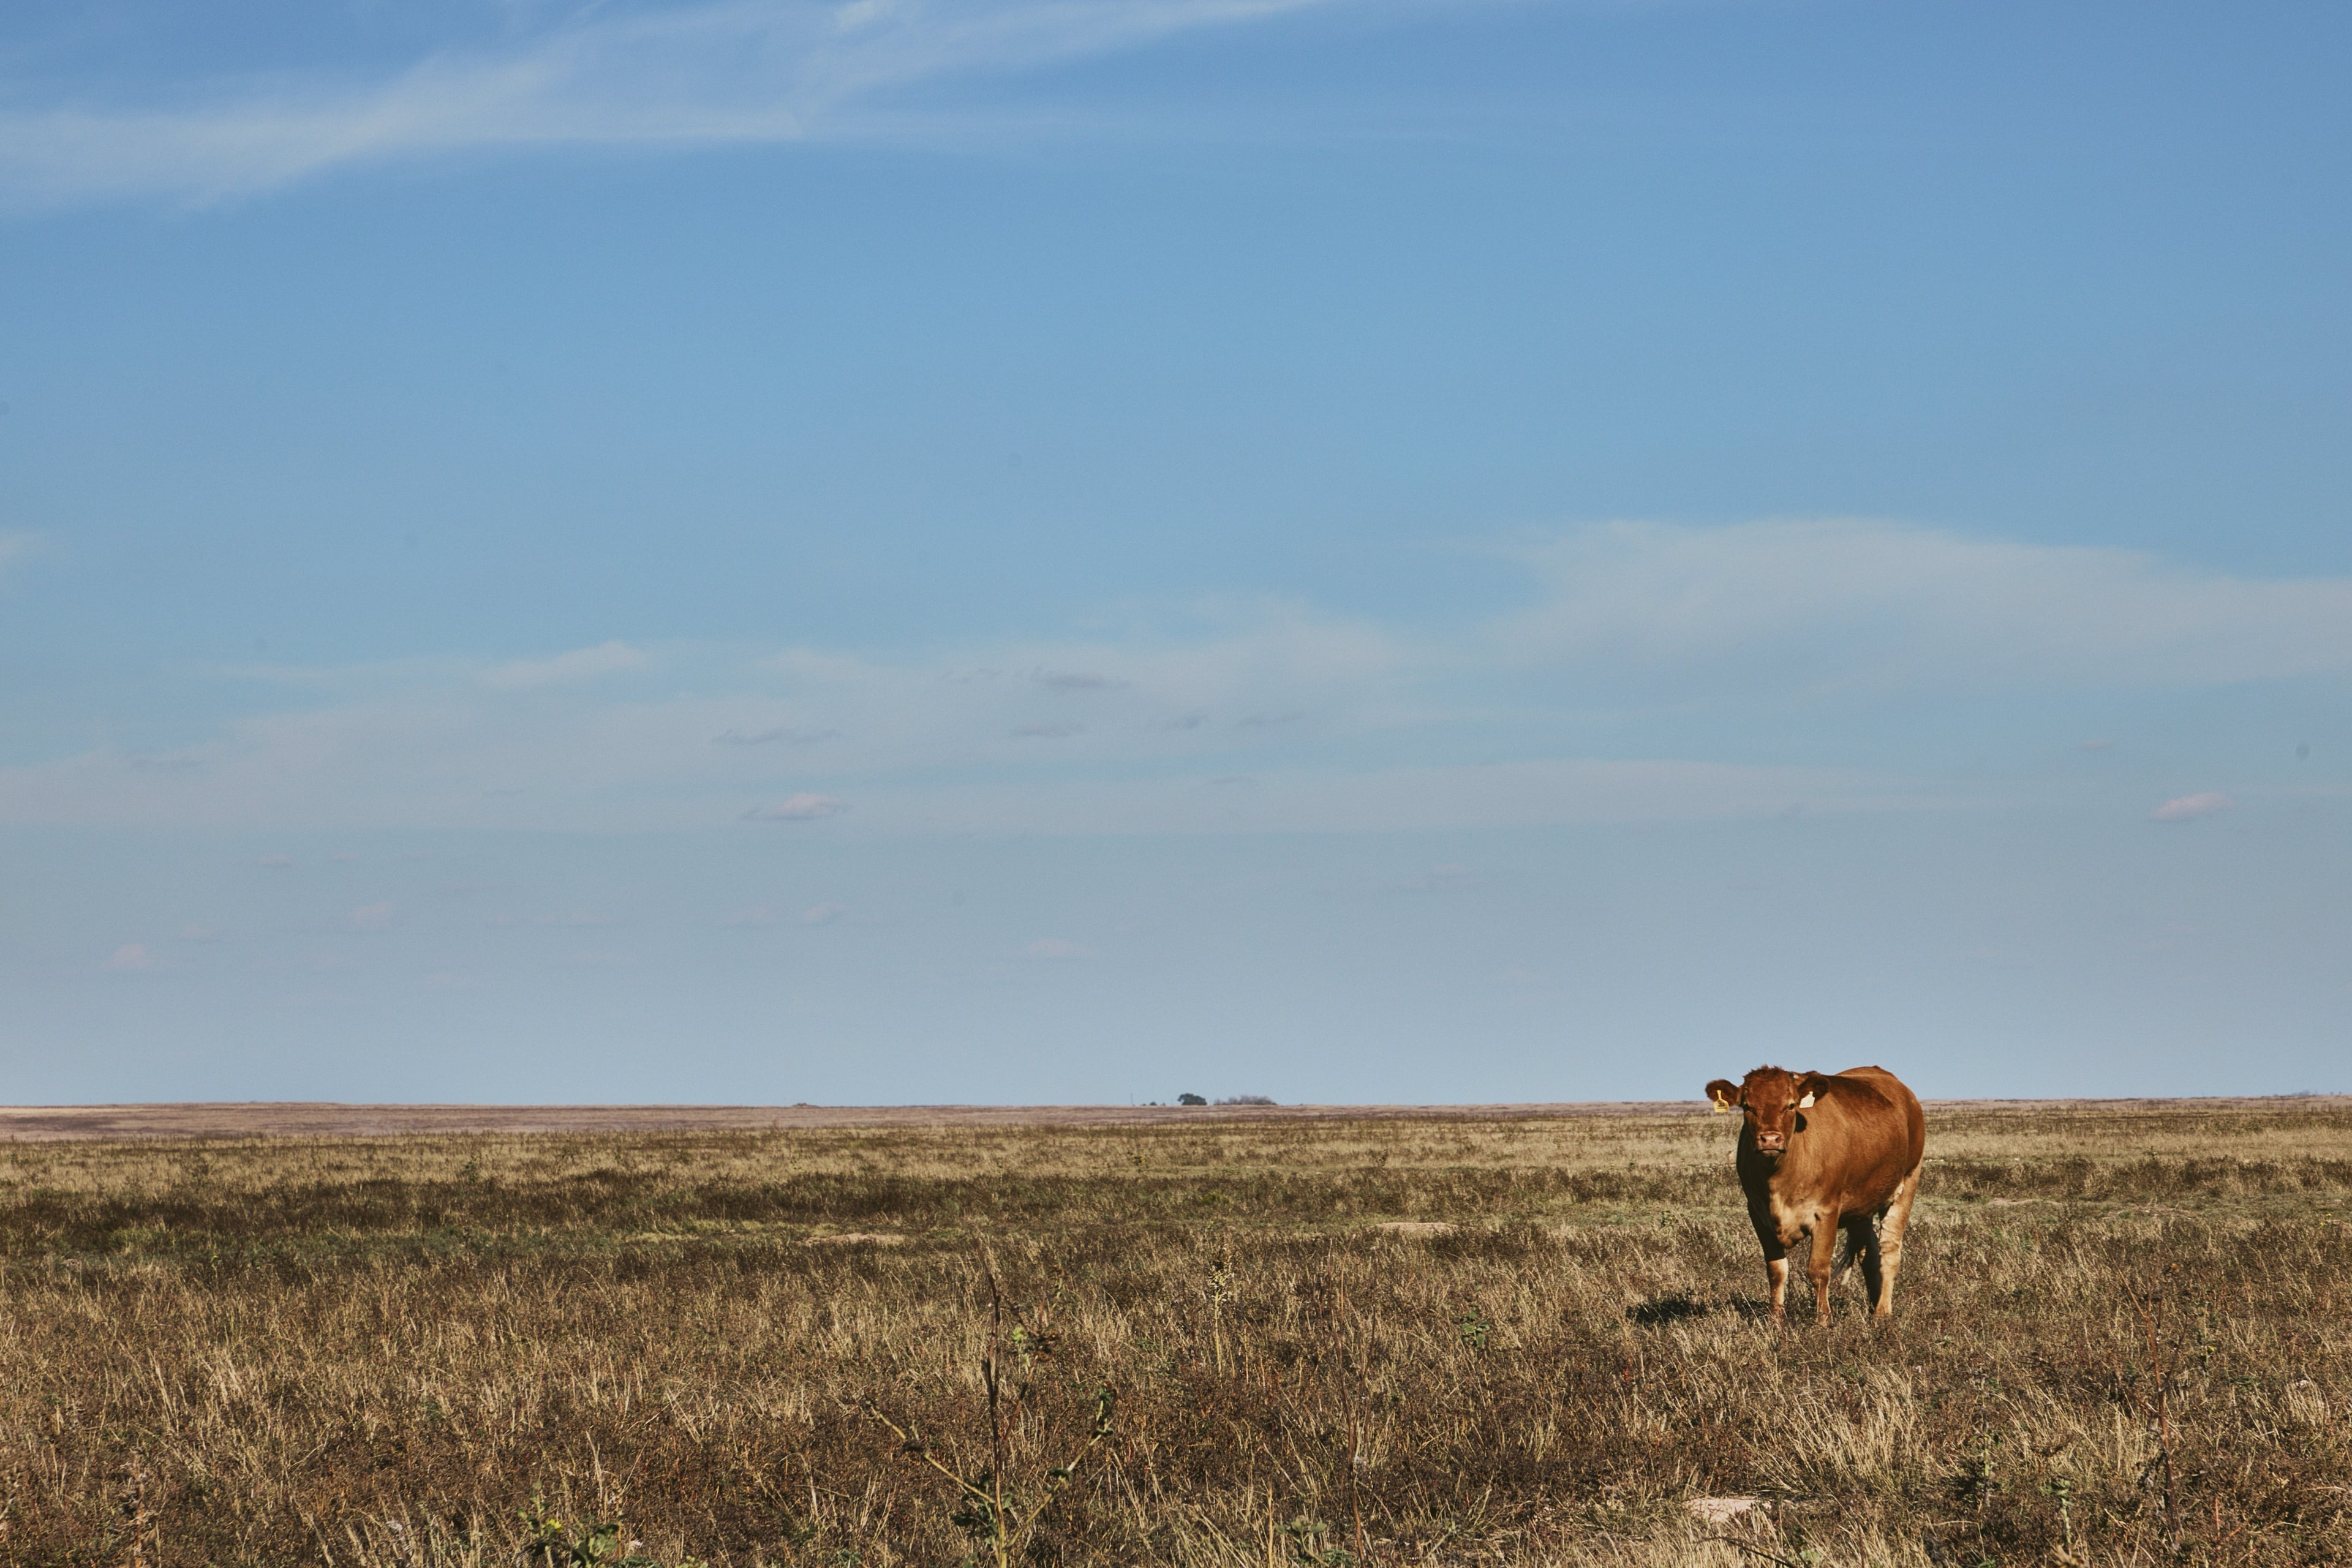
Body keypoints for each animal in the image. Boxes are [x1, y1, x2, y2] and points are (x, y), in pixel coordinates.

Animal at [1702, 1064, 1925, 1325]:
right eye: (1747, 1106)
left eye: (1791, 1105)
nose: (1770, 1139)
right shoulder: (1758, 1214)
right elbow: (1776, 1271)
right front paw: (1775, 1320)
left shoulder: (1826, 1212)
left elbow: (1818, 1270)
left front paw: (1823, 1321)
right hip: (1861, 1206)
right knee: (1869, 1254)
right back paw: (1873, 1305)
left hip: (1908, 1181)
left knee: (1889, 1251)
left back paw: (1882, 1312)